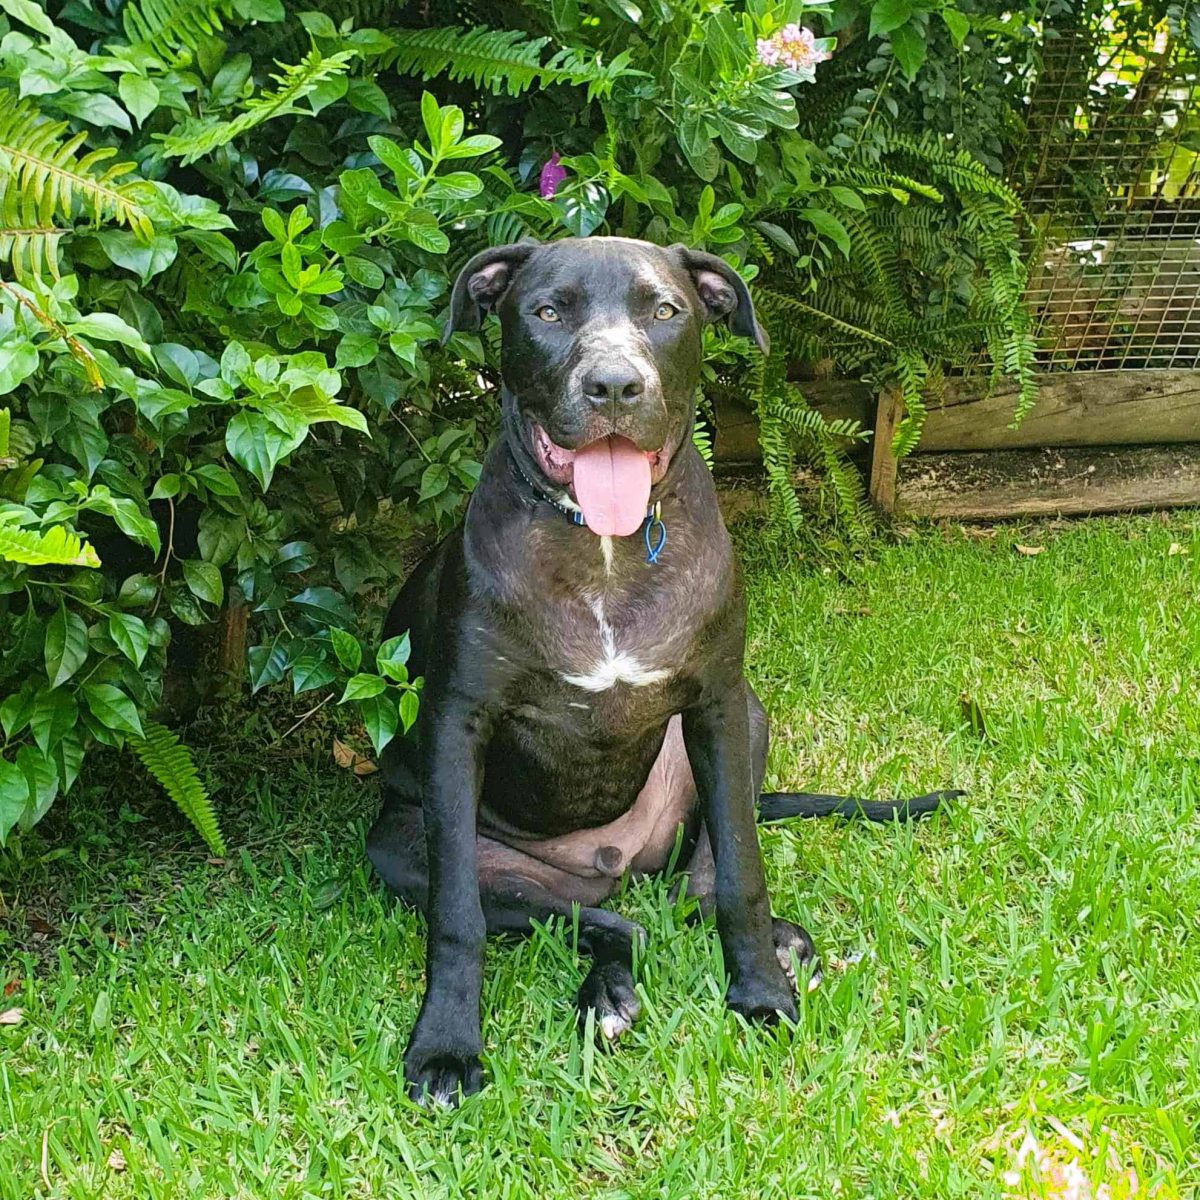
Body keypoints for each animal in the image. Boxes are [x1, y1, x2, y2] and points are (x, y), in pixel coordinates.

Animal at [369, 236, 950, 1104]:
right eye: (547, 311)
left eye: (666, 310)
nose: (614, 385)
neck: (603, 550)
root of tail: (619, 862)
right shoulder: (453, 726)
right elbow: (456, 917)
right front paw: (446, 1045)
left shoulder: (717, 705)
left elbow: (742, 874)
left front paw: (758, 994)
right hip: (413, 848)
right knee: (614, 923)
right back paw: (608, 996)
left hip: (744, 730)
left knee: (697, 888)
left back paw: (777, 946)